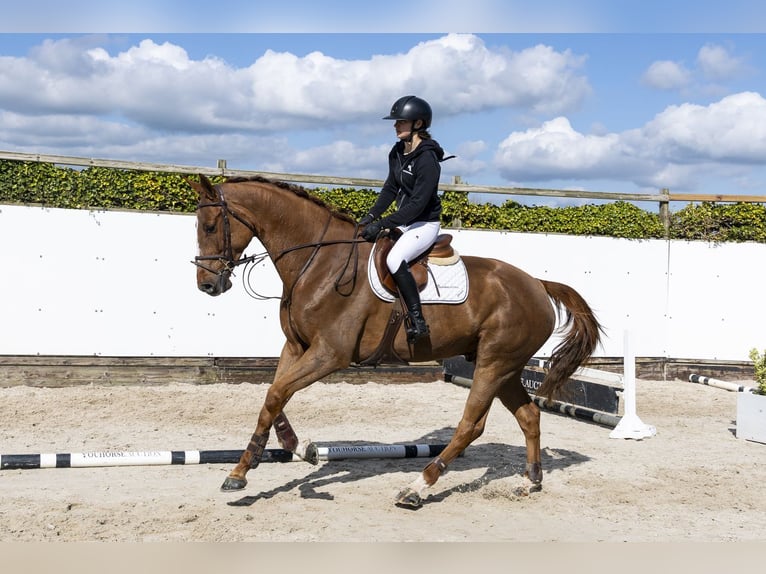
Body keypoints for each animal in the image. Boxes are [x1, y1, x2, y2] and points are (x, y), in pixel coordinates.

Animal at [191, 173, 602, 508]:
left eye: (210, 226)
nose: (208, 286)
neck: (318, 262)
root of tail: (537, 284)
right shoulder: (295, 348)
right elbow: (273, 397)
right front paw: (281, 452)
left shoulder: (329, 354)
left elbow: (276, 394)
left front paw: (247, 470)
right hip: (505, 367)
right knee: (529, 415)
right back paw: (530, 482)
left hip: (493, 363)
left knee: (472, 425)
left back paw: (417, 488)